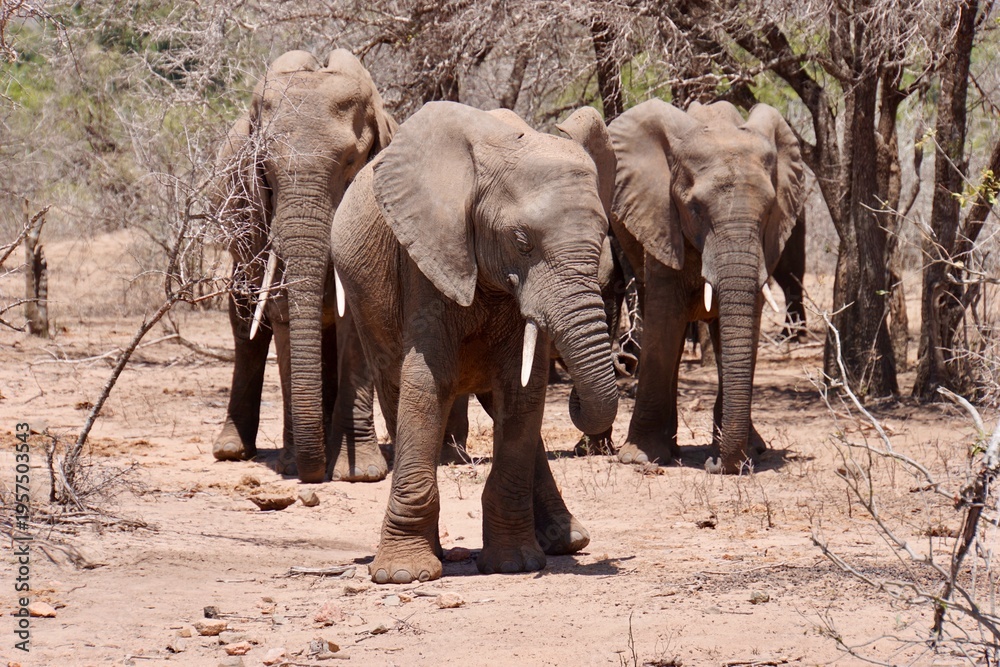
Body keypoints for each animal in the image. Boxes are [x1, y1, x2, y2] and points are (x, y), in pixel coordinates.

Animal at [211, 49, 396, 483]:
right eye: (263, 165)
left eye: (351, 161)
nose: (310, 476)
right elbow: (280, 315)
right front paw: (296, 465)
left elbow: (353, 319)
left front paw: (358, 473)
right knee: (245, 323)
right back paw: (231, 450)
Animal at [330, 102, 619, 583]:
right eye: (522, 241)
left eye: (603, 236)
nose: (575, 398)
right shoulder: (426, 257)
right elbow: (426, 384)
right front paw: (404, 575)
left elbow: (522, 392)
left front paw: (514, 565)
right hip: (362, 299)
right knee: (393, 386)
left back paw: (567, 541)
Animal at [608, 99, 805, 474]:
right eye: (695, 208)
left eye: (769, 210)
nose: (716, 465)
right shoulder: (660, 217)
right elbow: (665, 323)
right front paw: (639, 457)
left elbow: (747, 323)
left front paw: (749, 453)